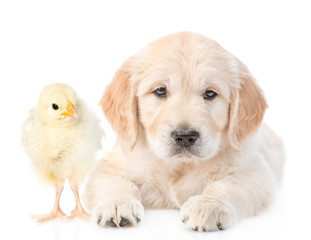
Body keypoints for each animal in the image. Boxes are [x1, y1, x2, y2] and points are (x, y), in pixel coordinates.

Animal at [84, 31, 286, 231]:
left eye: (210, 94)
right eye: (160, 91)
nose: (185, 136)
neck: (180, 166)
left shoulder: (255, 173)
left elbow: (227, 186)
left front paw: (208, 205)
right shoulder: (111, 165)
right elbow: (116, 183)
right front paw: (117, 203)